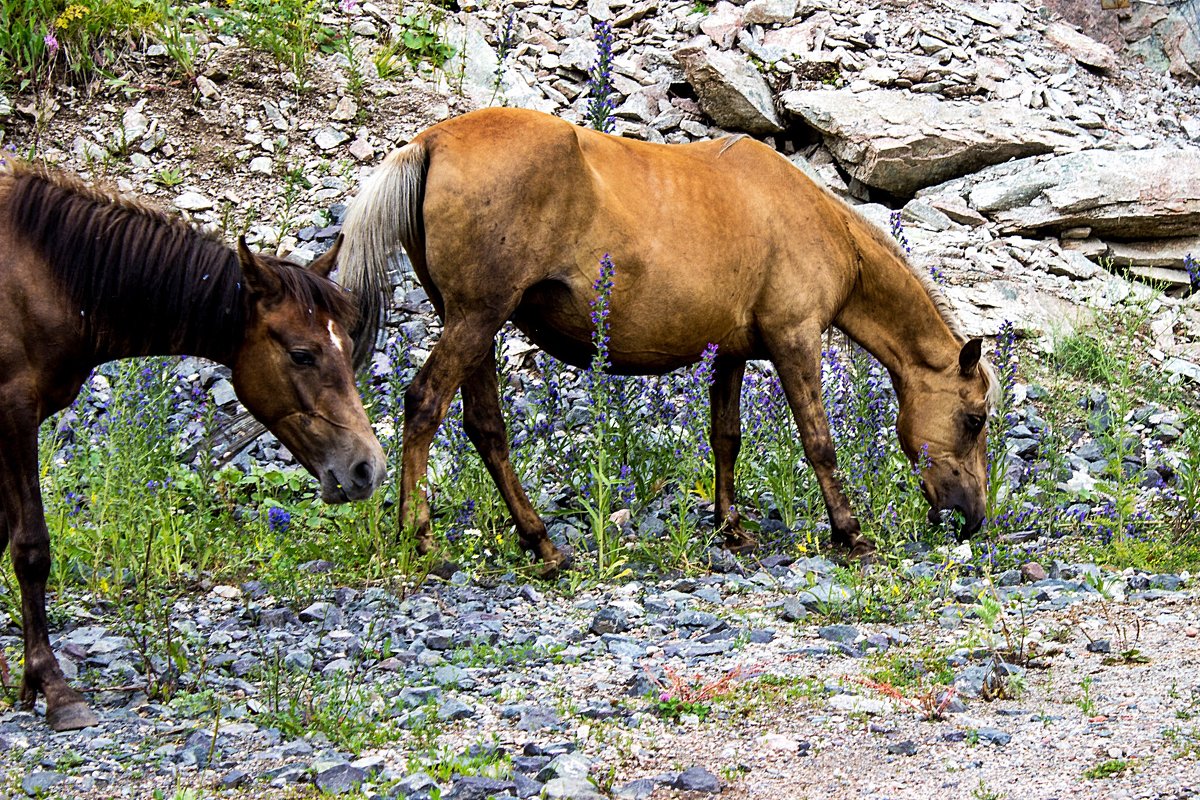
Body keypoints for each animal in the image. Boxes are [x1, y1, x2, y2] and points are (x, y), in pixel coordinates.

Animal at [0, 159, 384, 729]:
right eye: (301, 354)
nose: (367, 468)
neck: (38, 274)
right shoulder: (13, 412)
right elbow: (30, 548)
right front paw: (54, 687)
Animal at [336, 107, 993, 568]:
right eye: (975, 418)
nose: (972, 517)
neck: (816, 224)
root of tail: (431, 142)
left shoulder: (731, 353)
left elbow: (726, 438)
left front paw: (730, 526)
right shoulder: (794, 340)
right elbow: (819, 442)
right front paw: (849, 532)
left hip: (472, 324)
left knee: (485, 427)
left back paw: (541, 543)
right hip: (476, 319)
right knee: (424, 405)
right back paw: (420, 537)